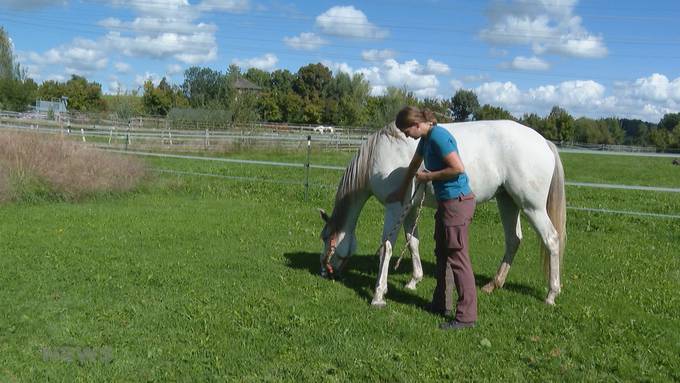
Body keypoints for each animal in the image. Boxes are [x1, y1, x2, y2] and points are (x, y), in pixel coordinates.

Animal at [322, 121, 564, 308]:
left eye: (326, 239)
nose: (325, 272)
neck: (380, 153)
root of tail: (544, 142)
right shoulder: (409, 210)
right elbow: (412, 242)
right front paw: (414, 280)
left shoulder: (395, 208)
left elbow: (387, 247)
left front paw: (379, 294)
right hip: (508, 202)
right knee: (513, 240)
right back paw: (493, 284)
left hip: (531, 207)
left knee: (551, 240)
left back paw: (551, 294)